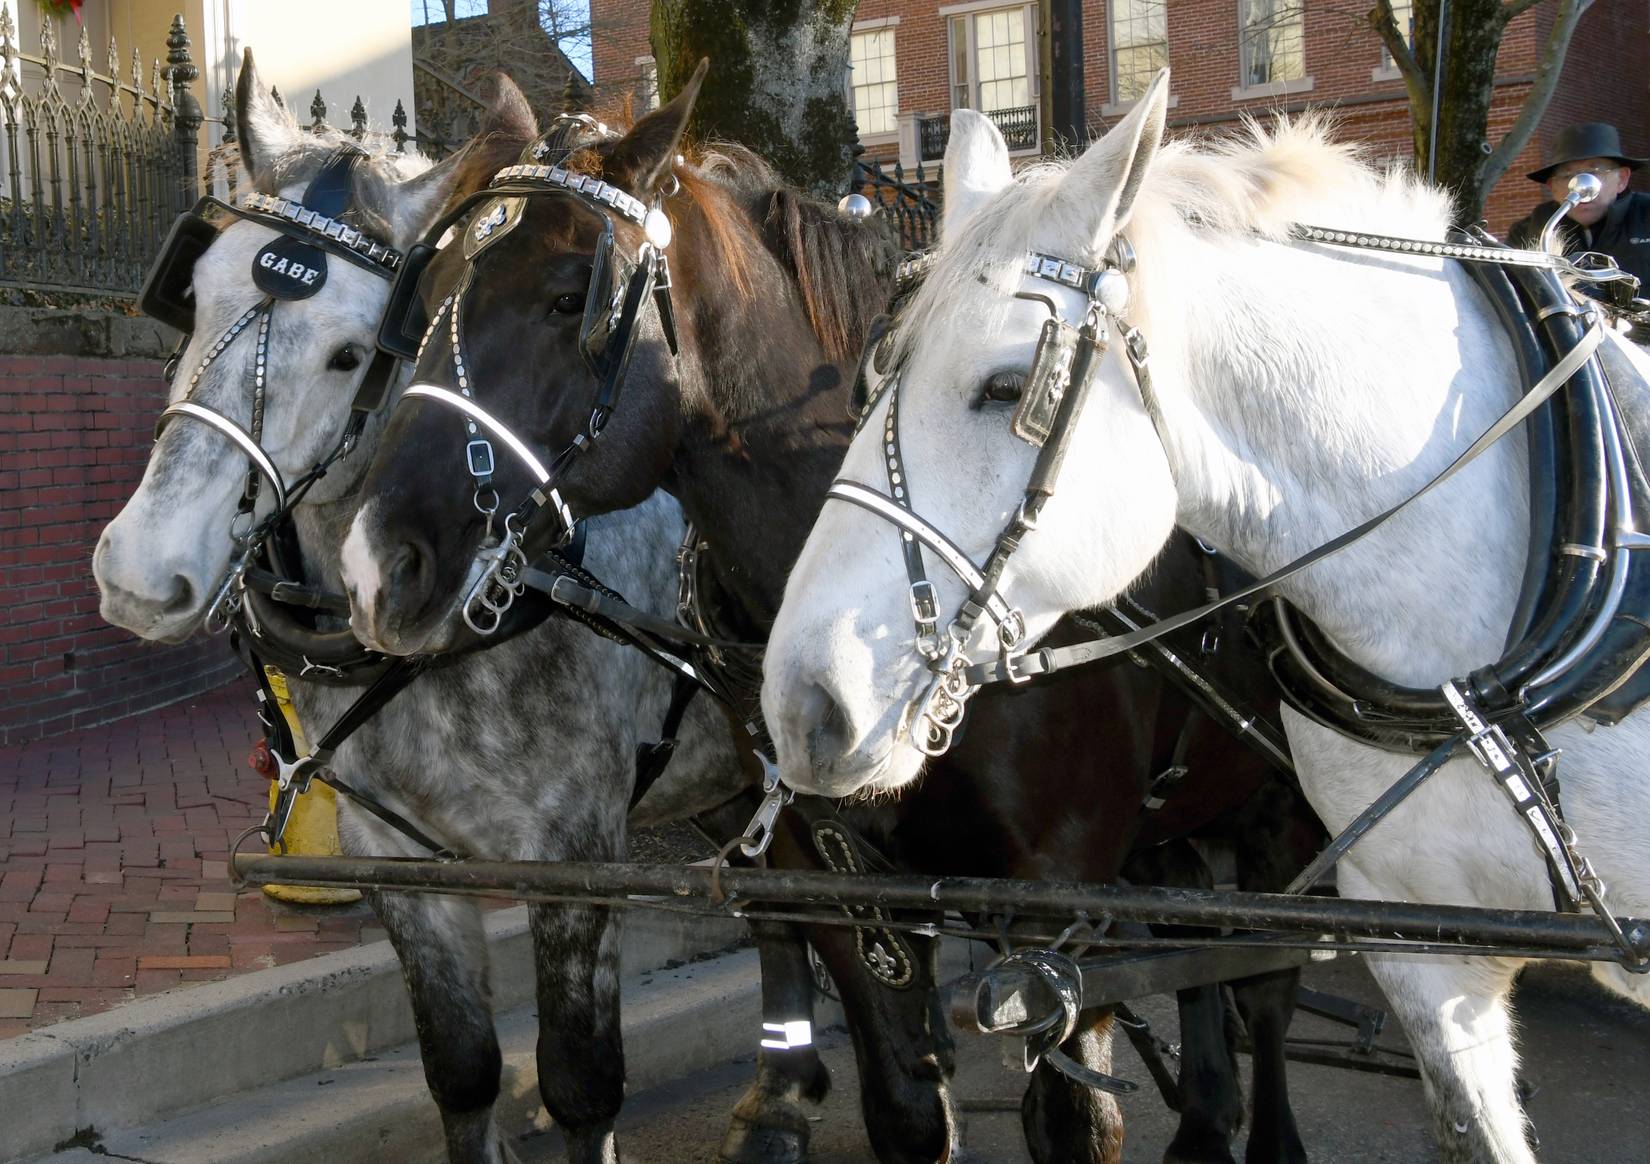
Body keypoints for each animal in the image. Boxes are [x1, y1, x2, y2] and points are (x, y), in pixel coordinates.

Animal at [92, 55, 867, 1164]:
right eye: (192, 299)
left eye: (350, 353)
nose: (140, 570)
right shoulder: (399, 866)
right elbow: (461, 1072)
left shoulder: (576, 861)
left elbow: (581, 1084)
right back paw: (779, 1092)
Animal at [337, 68, 1323, 1164]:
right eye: (430, 295)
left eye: (564, 300)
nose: (378, 563)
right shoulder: (832, 879)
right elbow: (903, 1108)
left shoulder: (1059, 897)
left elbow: (1073, 1118)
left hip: (1285, 812)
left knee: (1267, 987)